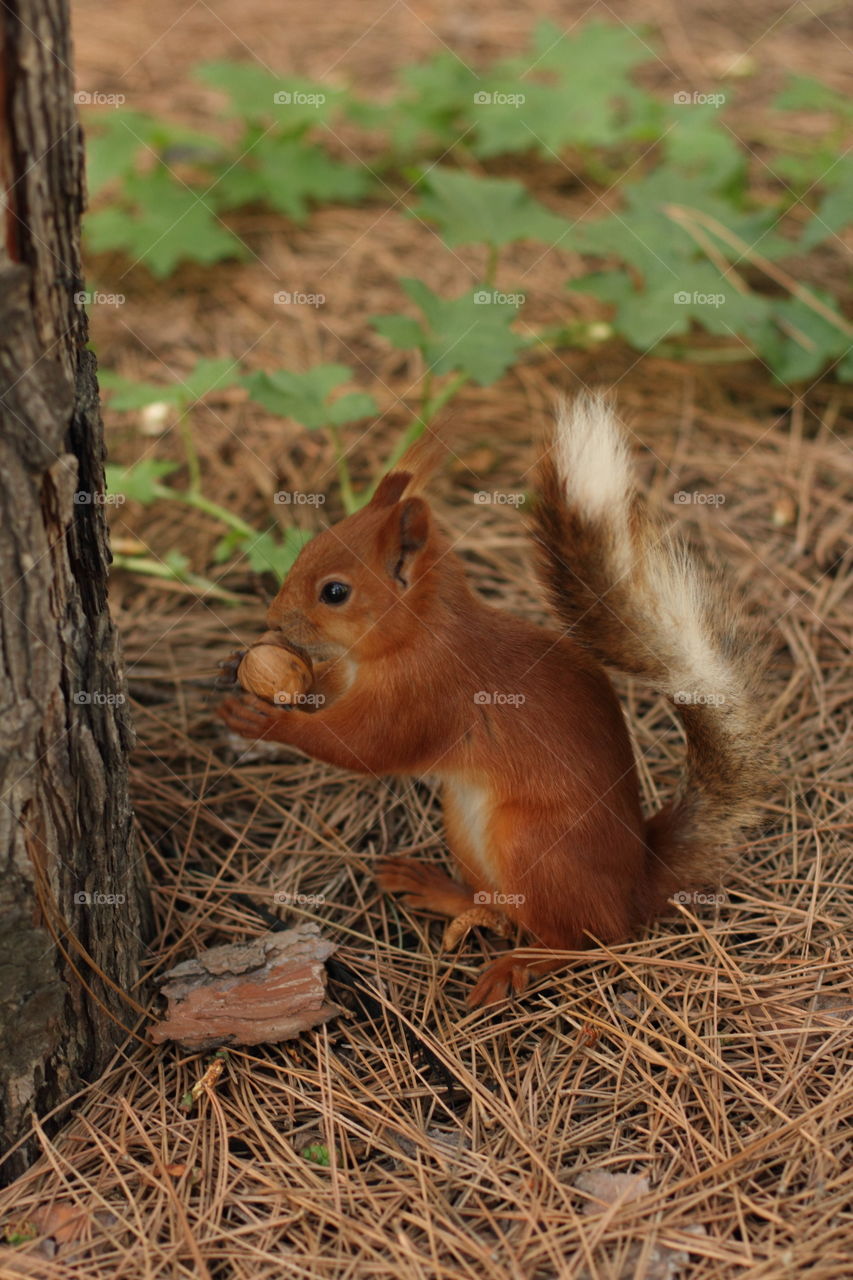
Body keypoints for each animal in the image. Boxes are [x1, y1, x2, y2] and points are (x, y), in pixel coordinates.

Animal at [219, 392, 770, 1006]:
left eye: (334, 592)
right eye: (307, 548)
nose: (273, 620)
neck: (418, 635)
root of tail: (637, 883)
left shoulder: (427, 696)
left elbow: (364, 748)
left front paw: (266, 720)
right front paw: (251, 670)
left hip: (533, 845)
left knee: (587, 938)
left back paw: (520, 963)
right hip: (464, 823)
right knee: (503, 908)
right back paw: (440, 892)